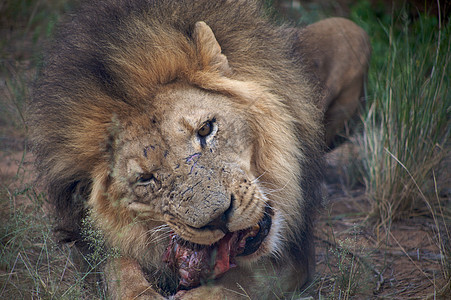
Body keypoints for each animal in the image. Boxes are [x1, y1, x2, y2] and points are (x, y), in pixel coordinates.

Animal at [27, 1, 370, 298]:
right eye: (145, 179)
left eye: (206, 129)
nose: (218, 219)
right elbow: (120, 271)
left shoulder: (294, 257)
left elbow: (236, 286)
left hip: (346, 29)